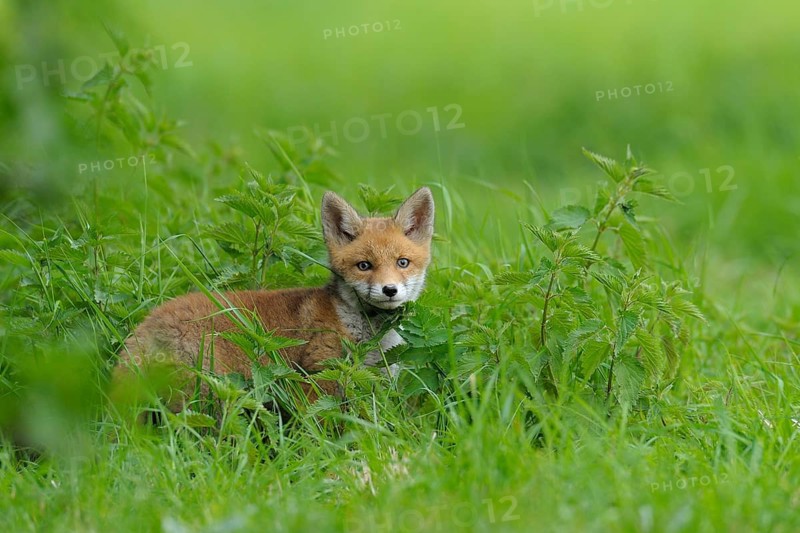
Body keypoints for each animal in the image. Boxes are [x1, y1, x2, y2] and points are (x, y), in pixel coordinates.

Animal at [114, 187, 435, 409]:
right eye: (364, 266)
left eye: (402, 262)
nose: (389, 290)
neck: (369, 336)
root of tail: (144, 327)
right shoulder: (318, 376)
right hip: (214, 386)